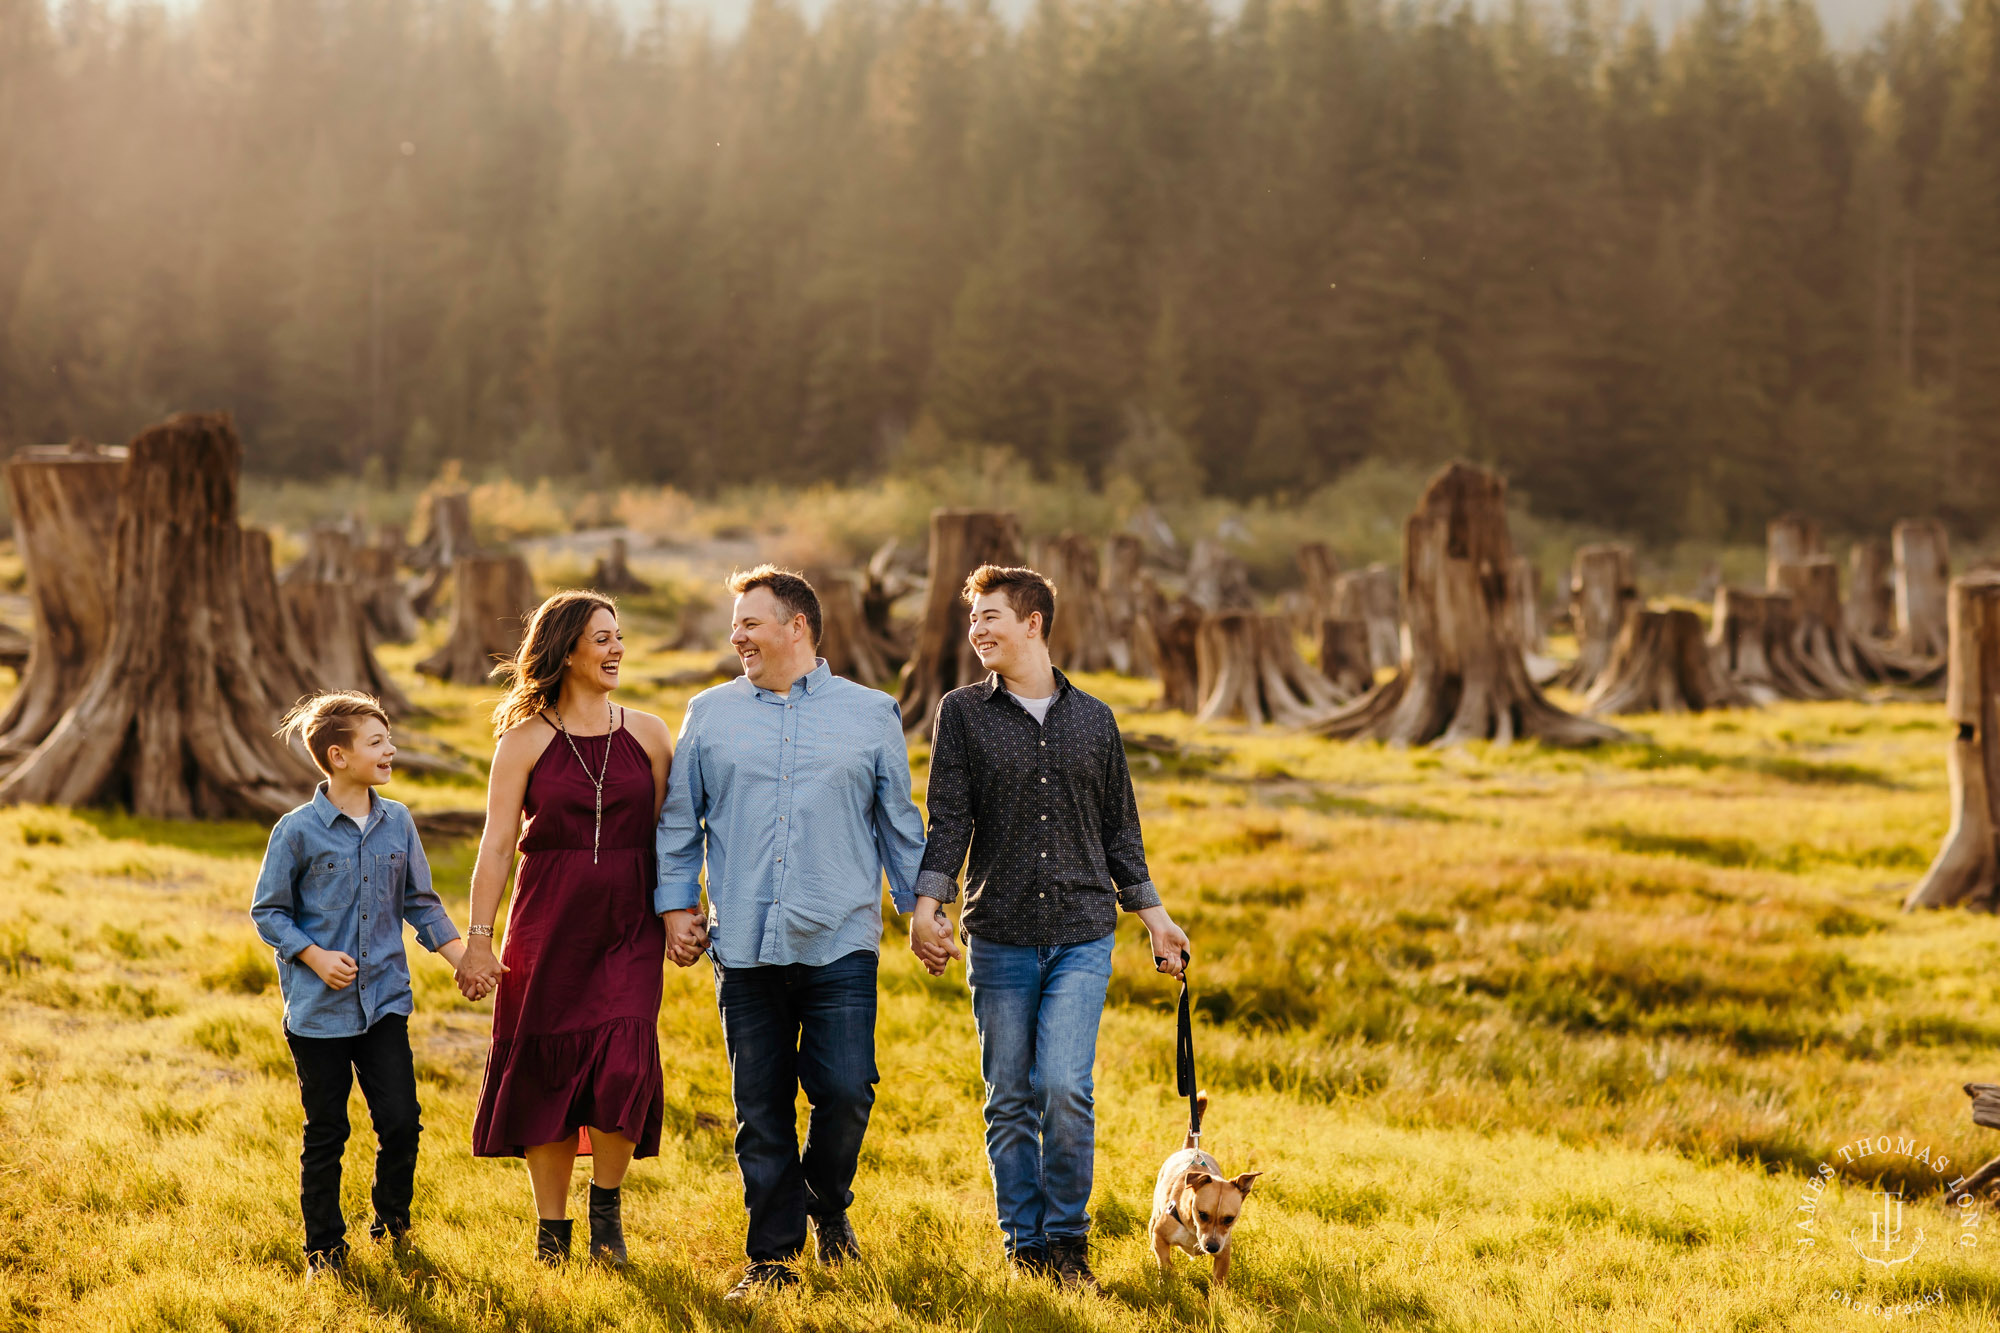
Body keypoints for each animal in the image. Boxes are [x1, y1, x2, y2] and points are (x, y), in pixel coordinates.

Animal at [1152, 1088, 1256, 1280]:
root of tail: (1190, 1149)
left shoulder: (1224, 1250)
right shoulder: (1159, 1234)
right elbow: (1165, 1263)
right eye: (1202, 1214)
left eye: (1229, 1219)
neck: (1194, 1229)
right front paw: (1167, 1283)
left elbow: (1219, 1278)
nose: (1212, 1247)